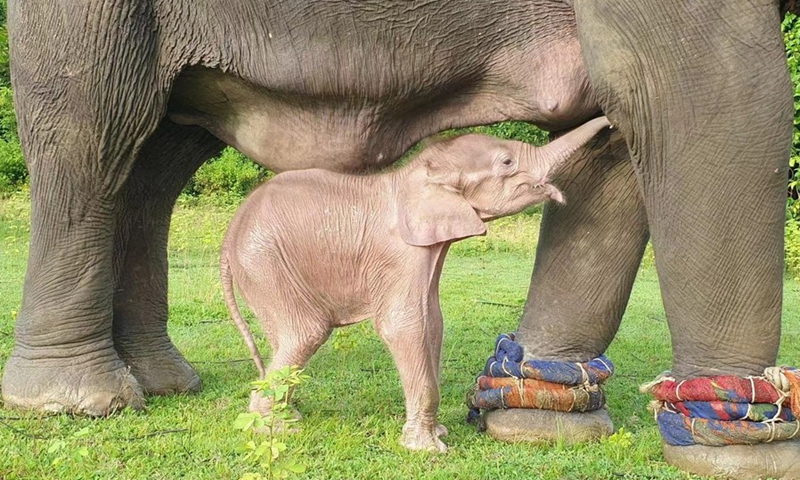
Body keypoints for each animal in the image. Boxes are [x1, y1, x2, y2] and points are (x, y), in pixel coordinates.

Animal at [220, 117, 612, 453]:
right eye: (506, 162)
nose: (610, 123)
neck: (416, 174)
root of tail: (230, 234)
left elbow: (433, 322)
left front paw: (439, 433)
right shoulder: (401, 253)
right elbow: (403, 325)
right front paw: (429, 449)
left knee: (286, 338)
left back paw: (285, 417)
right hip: (263, 260)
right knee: (305, 333)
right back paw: (275, 428)